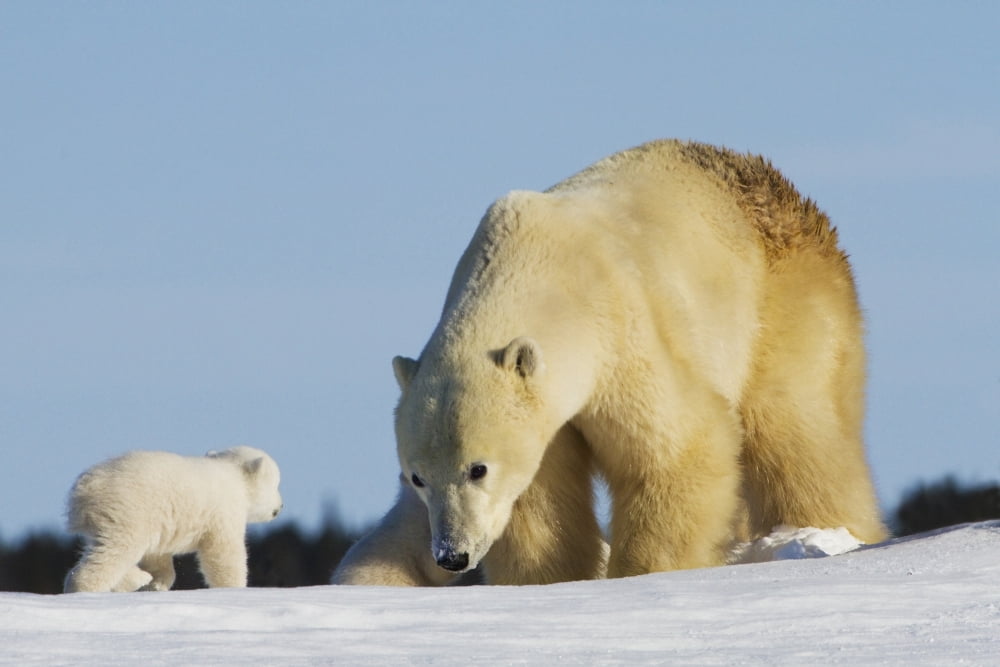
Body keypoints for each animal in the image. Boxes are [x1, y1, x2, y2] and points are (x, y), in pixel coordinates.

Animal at [64, 446, 283, 593]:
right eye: (276, 484)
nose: (280, 506)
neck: (234, 476)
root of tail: (87, 488)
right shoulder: (224, 511)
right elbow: (224, 553)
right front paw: (234, 588)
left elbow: (157, 556)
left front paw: (157, 584)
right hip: (128, 512)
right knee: (115, 551)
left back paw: (138, 579)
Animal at [333, 139, 888, 586]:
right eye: (416, 477)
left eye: (477, 468)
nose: (453, 554)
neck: (539, 272)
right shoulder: (550, 420)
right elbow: (541, 503)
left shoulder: (624, 331)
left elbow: (676, 448)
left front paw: (641, 575)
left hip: (782, 305)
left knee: (798, 427)